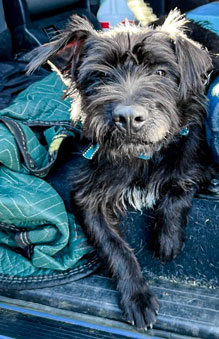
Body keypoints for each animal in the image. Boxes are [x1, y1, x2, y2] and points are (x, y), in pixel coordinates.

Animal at [28, 11, 216, 332]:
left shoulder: (198, 162)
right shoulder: (87, 195)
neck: (140, 155)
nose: (128, 117)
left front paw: (167, 238)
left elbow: (179, 185)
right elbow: (113, 245)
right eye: (100, 76)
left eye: (161, 72)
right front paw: (137, 296)